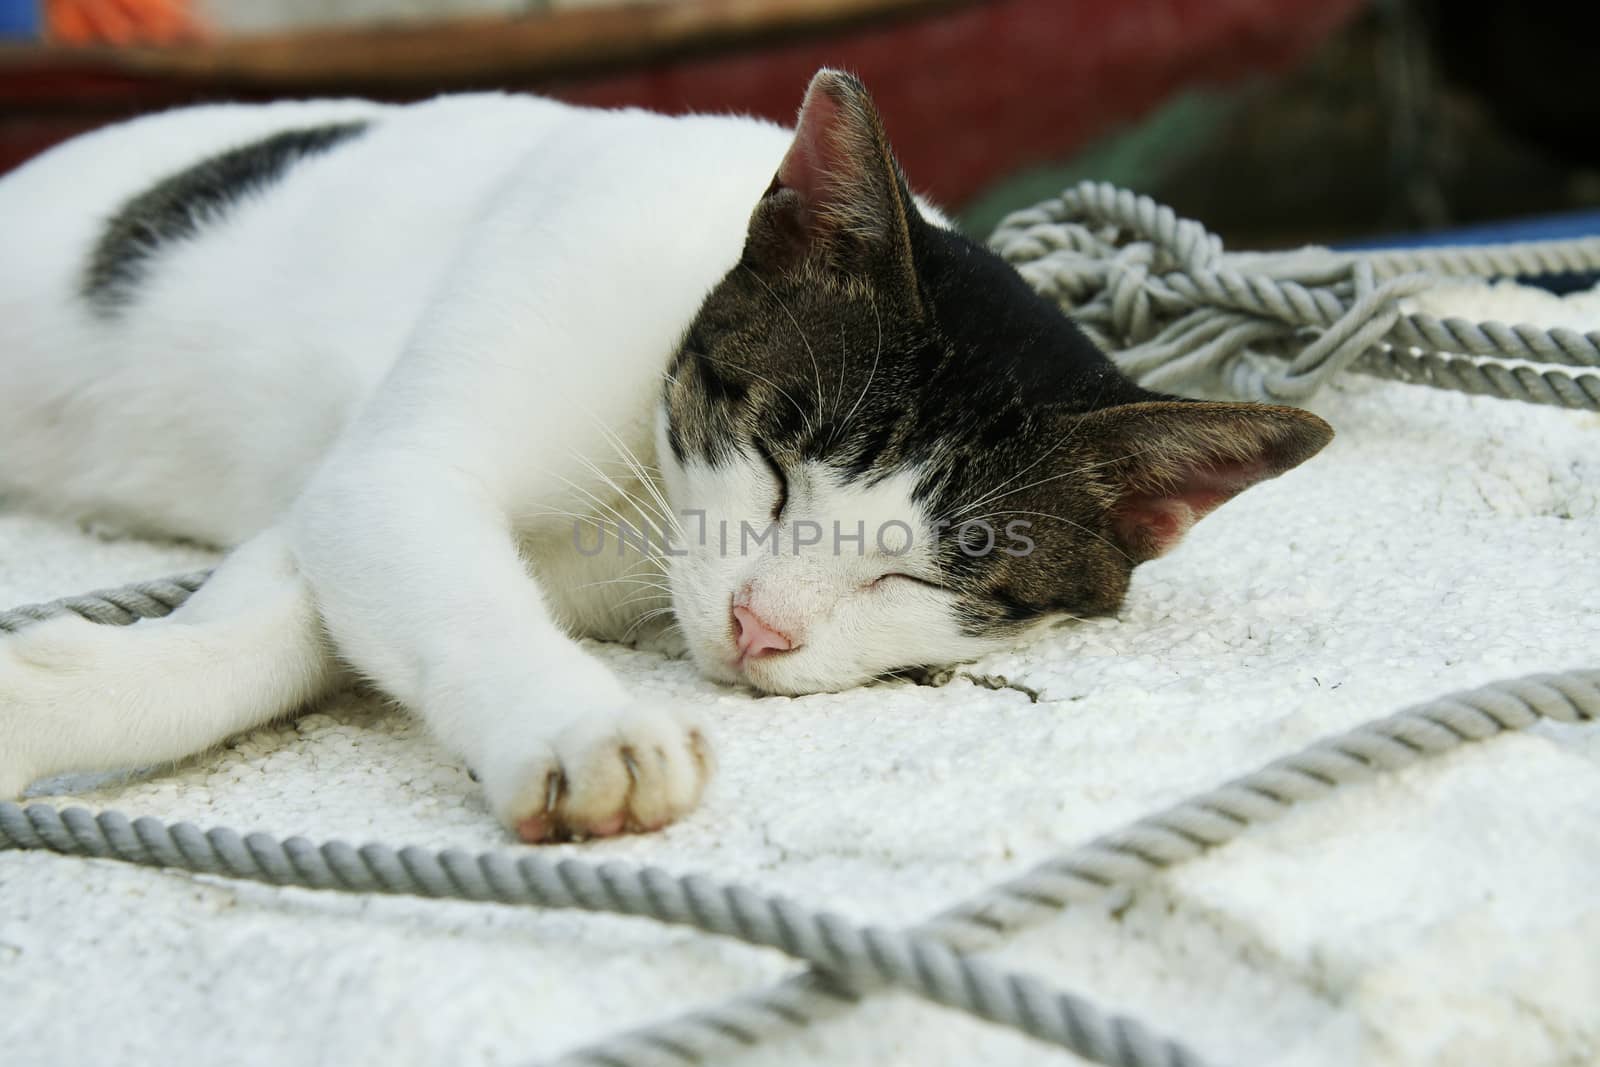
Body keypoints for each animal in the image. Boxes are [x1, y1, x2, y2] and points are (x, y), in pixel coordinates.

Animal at [0, 70, 1331, 844]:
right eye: (778, 458)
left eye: (922, 576)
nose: (758, 627)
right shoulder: (403, 459)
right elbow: (439, 584)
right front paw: (583, 727)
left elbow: (293, 625)